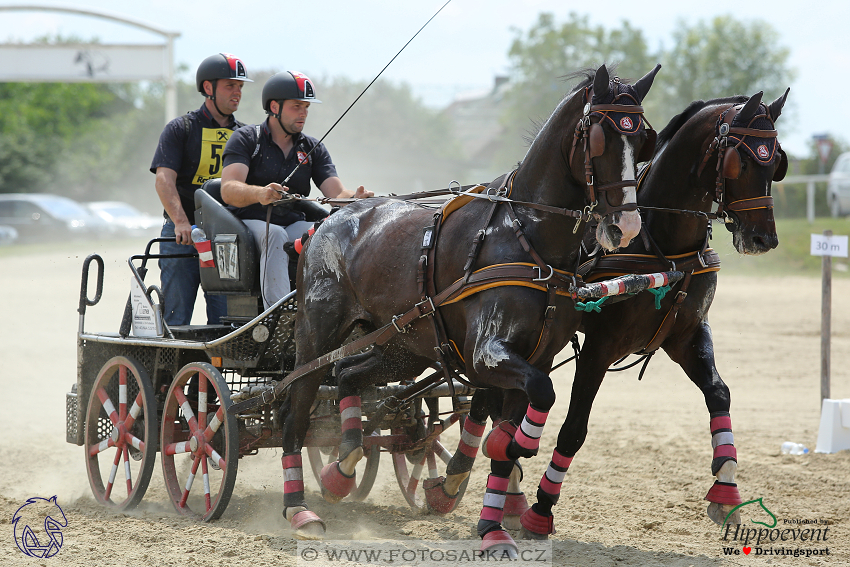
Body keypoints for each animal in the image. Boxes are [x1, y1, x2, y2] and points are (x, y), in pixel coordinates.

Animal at [280, 63, 664, 552]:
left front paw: (493, 522)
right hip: (317, 335)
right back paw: (298, 508)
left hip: (402, 345)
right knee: (297, 406)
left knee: (348, 375)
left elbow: (523, 412)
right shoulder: (488, 352)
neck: (527, 235)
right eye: (599, 138)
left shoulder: (535, 356)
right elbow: (535, 400)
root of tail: (328, 221)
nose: (627, 225)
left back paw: (341, 470)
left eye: (645, 140)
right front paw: (493, 461)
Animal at [512, 87, 792, 536]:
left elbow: (719, 394)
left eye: (776, 160)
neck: (662, 244)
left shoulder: (687, 335)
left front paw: (726, 489)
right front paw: (541, 508)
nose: (763, 238)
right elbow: (573, 429)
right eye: (743, 160)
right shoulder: (600, 347)